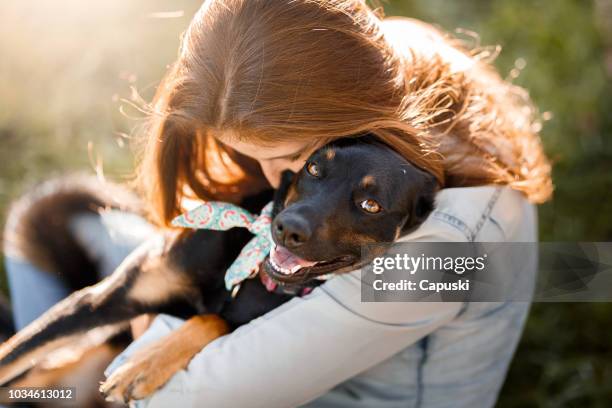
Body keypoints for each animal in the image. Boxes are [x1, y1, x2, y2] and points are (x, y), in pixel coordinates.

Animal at [1, 135, 440, 404]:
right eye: (314, 168)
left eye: (371, 205)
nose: (286, 228)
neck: (248, 268)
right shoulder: (102, 300)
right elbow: (13, 355)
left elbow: (213, 320)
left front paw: (147, 363)